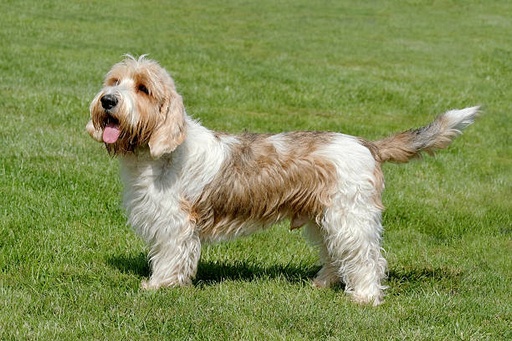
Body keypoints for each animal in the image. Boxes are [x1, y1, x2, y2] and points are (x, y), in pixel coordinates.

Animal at [86, 54, 478, 304]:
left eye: (143, 88)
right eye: (114, 81)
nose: (107, 100)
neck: (156, 154)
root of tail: (367, 144)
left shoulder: (174, 224)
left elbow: (170, 256)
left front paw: (158, 286)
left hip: (349, 217)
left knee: (366, 257)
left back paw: (364, 298)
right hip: (323, 219)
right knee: (335, 255)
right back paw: (322, 283)